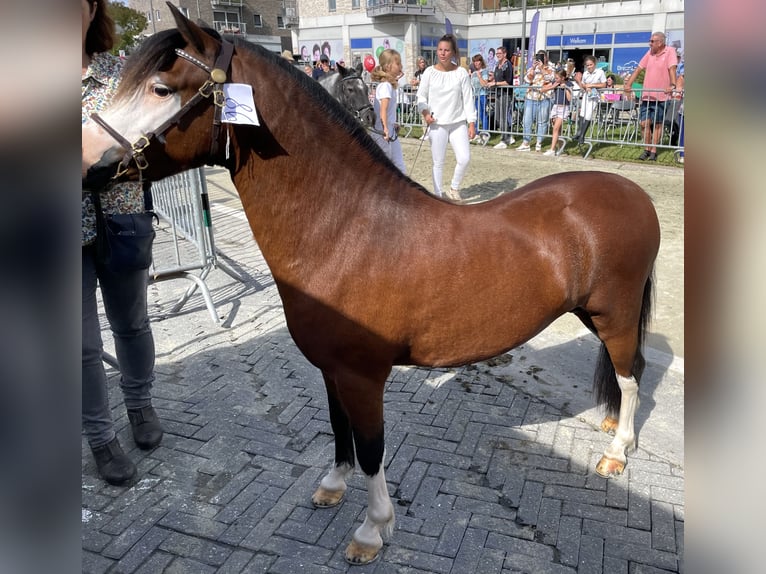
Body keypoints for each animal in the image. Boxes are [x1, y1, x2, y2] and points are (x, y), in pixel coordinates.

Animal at [82, 5, 660, 568]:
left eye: (160, 89)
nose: (89, 166)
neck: (345, 229)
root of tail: (632, 192)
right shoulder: (330, 368)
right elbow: (340, 430)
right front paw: (333, 487)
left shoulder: (362, 375)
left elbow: (371, 447)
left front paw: (371, 530)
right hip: (595, 314)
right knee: (625, 371)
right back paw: (612, 428)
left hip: (615, 314)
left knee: (631, 375)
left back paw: (617, 452)